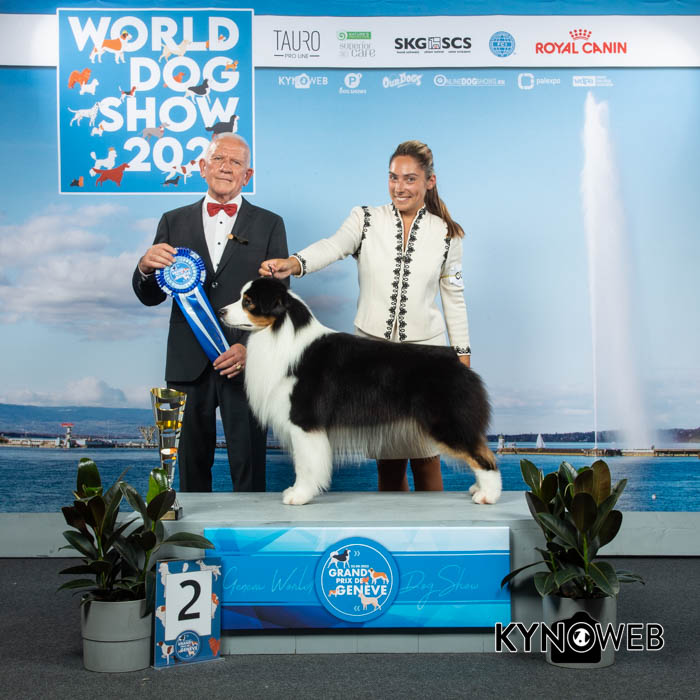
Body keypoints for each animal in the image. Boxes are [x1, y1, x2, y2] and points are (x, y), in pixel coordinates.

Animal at [219, 277, 501, 506]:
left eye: (248, 302)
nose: (220, 311)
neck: (280, 332)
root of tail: (454, 358)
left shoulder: (304, 421)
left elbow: (305, 464)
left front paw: (298, 495)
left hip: (446, 422)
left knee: (484, 457)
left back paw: (487, 495)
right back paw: (477, 489)